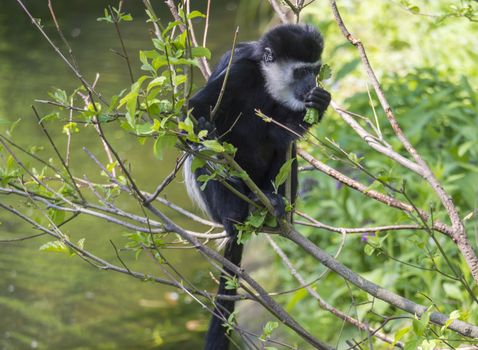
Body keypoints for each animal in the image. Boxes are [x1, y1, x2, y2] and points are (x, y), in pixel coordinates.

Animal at [182, 24, 328, 350]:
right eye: (301, 72)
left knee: (284, 147)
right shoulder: (236, 74)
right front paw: (206, 129)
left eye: (315, 70)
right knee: (210, 163)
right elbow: (193, 112)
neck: (264, 80)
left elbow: (282, 132)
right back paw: (237, 209)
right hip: (217, 200)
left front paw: (320, 103)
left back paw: (274, 203)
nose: (312, 84)